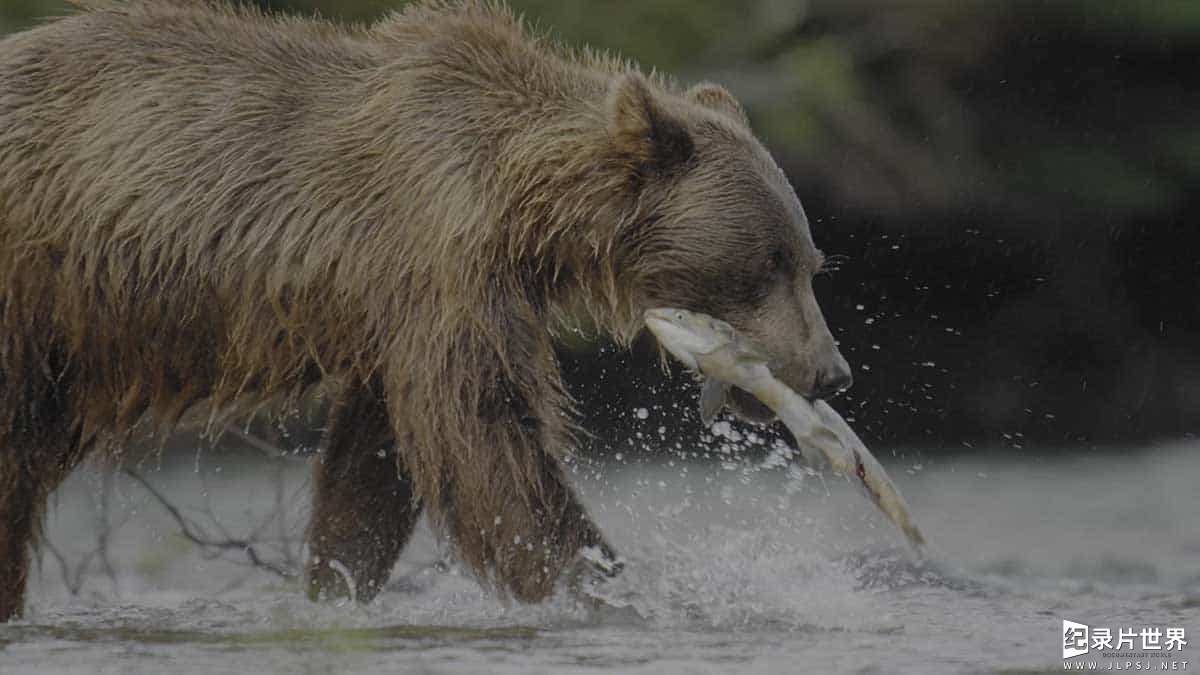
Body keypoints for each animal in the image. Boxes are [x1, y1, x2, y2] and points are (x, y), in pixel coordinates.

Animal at [0, 0, 854, 619]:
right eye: (768, 261)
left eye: (811, 262)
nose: (830, 370)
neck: (524, 207)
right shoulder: (437, 257)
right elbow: (488, 437)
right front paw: (607, 586)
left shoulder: (400, 312)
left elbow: (374, 465)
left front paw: (335, 584)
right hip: (31, 297)